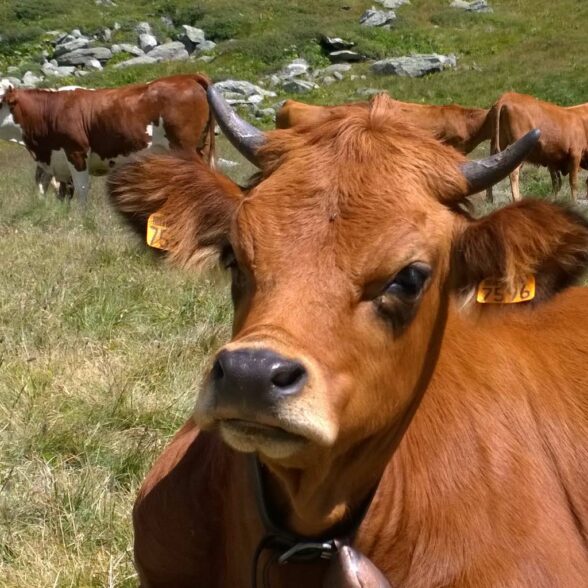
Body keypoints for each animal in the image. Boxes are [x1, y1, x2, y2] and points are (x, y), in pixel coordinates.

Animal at [0, 73, 216, 203]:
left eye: (0, 100)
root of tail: (186, 76)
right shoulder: (55, 162)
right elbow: (57, 191)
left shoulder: (76, 153)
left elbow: (81, 190)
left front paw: (84, 224)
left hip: (186, 148)